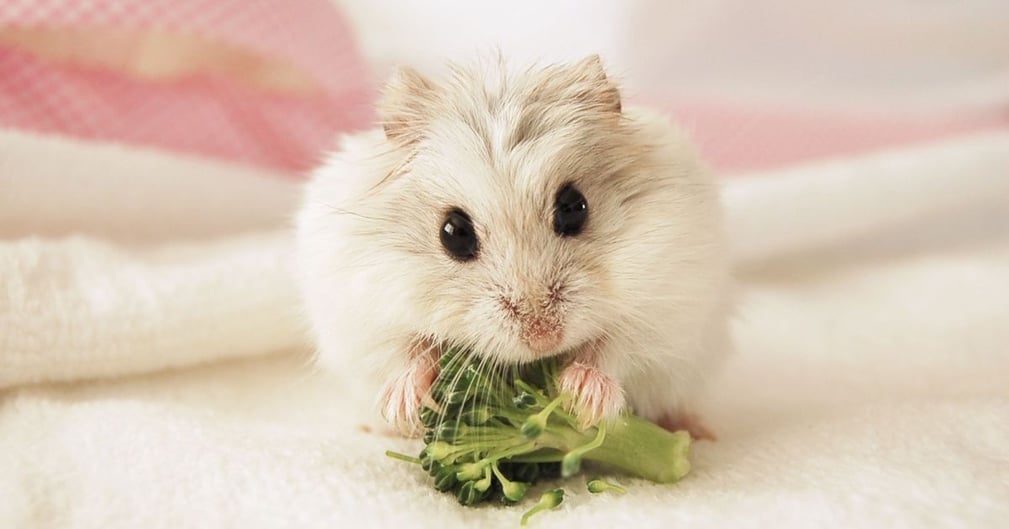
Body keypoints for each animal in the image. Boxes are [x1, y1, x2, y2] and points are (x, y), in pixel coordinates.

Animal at [294, 55, 734, 440]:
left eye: (574, 208)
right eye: (453, 233)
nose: (543, 339)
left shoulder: (665, 311)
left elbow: (615, 348)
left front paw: (583, 399)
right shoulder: (365, 315)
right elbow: (404, 353)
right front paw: (405, 408)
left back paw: (695, 431)